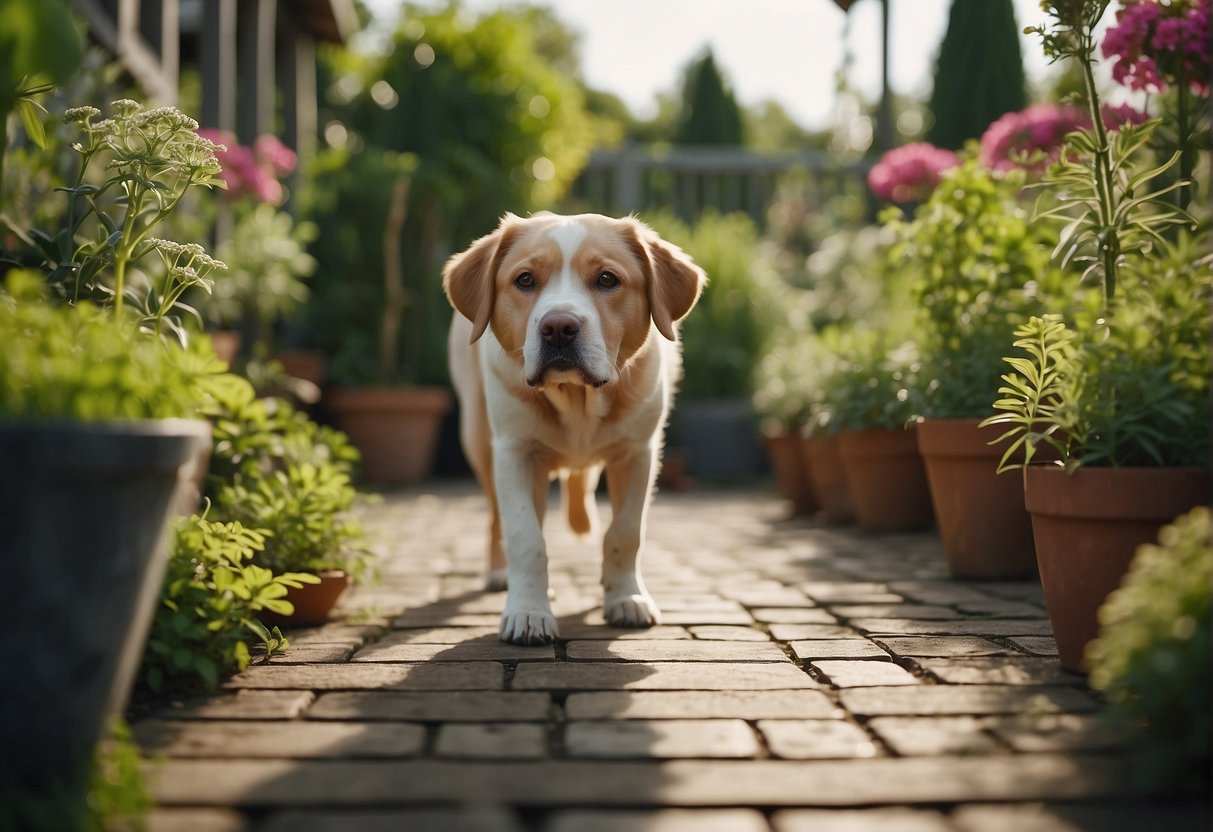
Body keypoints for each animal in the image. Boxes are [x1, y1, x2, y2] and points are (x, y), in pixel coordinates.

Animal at [443, 212, 708, 650]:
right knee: (498, 518)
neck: (577, 398)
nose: (558, 327)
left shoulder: (638, 453)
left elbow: (625, 532)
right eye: (525, 280)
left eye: (607, 279)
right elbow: (525, 535)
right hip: (477, 438)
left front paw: (626, 598)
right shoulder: (514, 452)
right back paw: (502, 576)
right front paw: (528, 612)